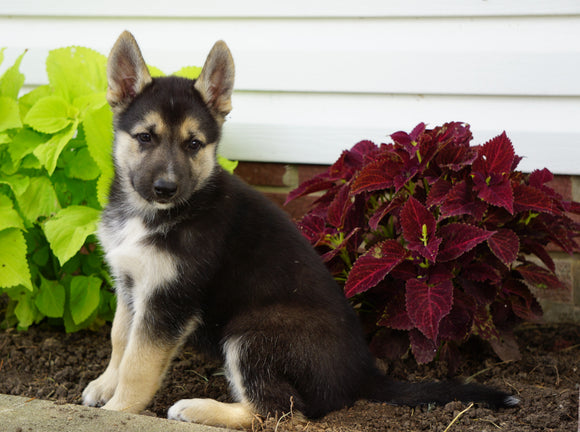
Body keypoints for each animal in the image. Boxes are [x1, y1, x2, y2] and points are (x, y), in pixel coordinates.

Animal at [80, 31, 516, 428]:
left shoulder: (169, 300)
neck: (150, 214)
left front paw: (119, 409)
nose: (165, 188)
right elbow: (121, 338)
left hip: (252, 335)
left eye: (193, 145)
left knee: (278, 410)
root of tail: (363, 376)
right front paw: (104, 386)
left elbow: (140, 361)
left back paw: (197, 408)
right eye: (145, 137)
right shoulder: (130, 285)